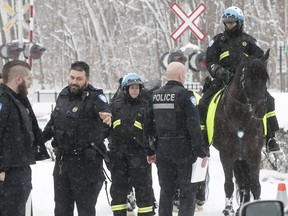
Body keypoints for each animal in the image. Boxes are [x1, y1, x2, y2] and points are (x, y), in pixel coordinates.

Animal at [212, 49, 270, 215]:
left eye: (265, 78)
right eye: (249, 79)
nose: (261, 110)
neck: (241, 117)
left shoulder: (254, 155)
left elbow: (255, 185)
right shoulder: (226, 155)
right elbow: (229, 184)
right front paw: (228, 209)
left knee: (245, 183)